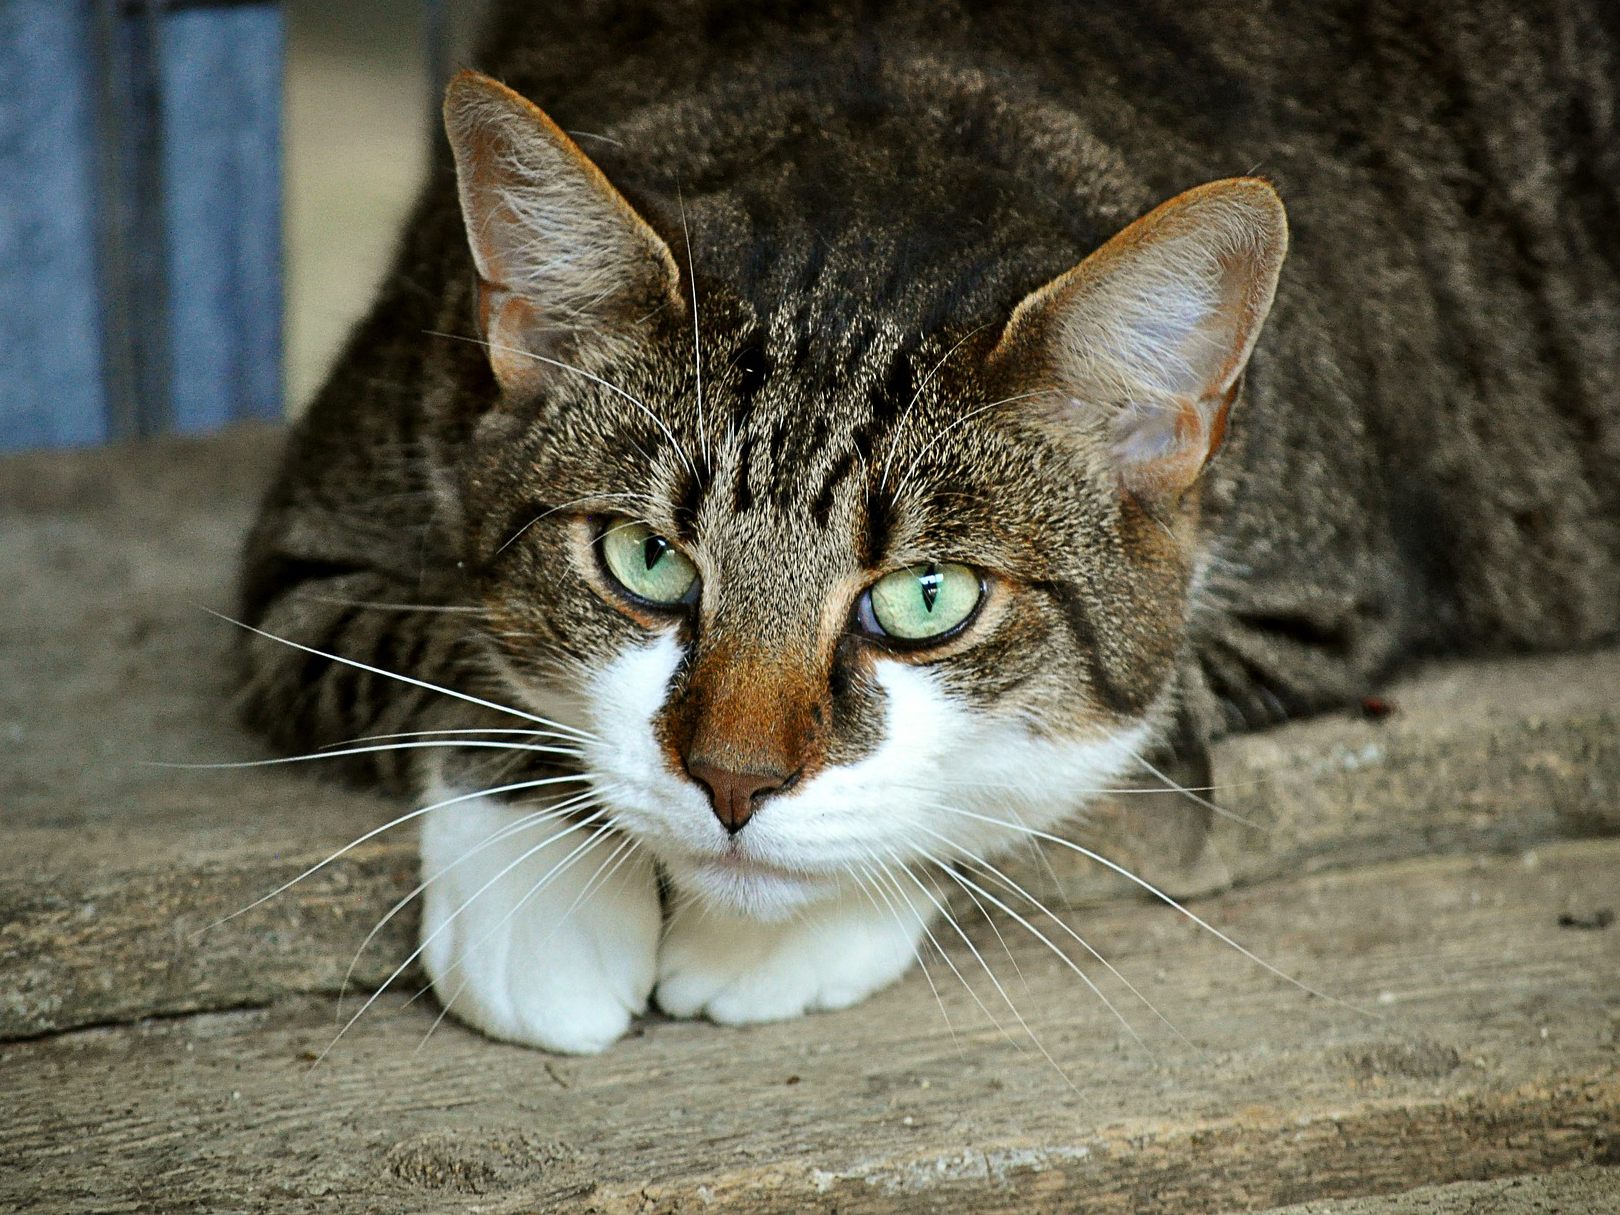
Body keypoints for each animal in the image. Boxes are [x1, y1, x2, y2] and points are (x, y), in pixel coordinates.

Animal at [234, 0, 1613, 1056]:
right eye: (647, 560)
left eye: (927, 599)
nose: (733, 784)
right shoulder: (322, 526)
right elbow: (449, 653)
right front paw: (547, 909)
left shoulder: (1317, 598)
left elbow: (1074, 750)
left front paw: (772, 937)